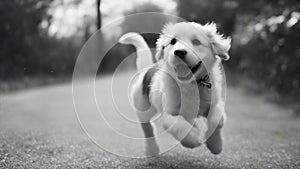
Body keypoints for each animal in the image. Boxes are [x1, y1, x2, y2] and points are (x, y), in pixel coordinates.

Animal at [118, 21, 231, 156]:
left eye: (196, 41)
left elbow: (216, 120)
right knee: (147, 128)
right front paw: (193, 139)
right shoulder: (169, 114)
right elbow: (179, 124)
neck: (191, 85)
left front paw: (215, 144)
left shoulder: (215, 102)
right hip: (143, 107)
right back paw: (152, 149)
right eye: (173, 41)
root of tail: (146, 69)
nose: (179, 52)